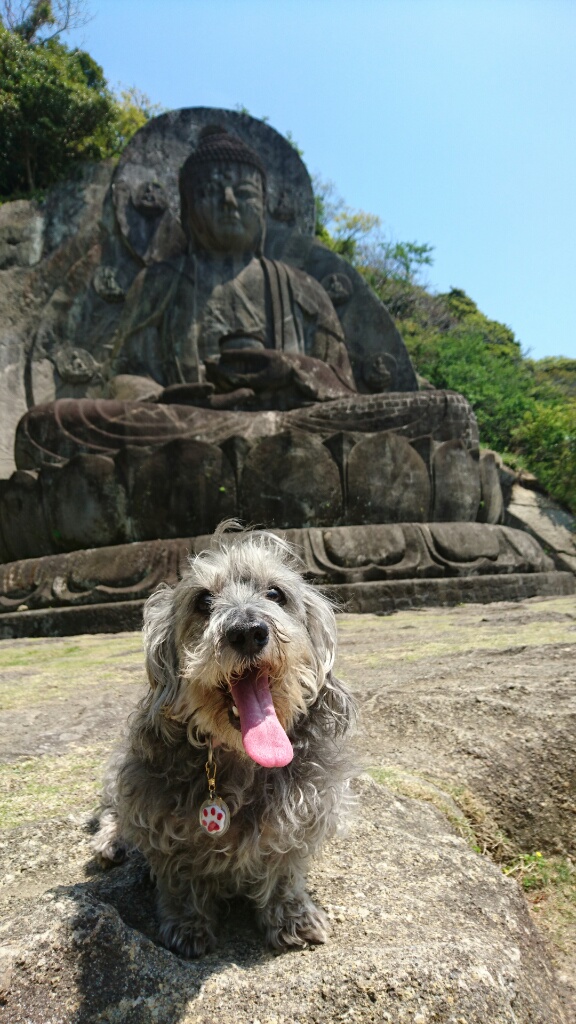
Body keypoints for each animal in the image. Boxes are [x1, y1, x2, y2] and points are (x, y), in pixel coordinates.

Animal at [93, 524, 354, 954]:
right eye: (203, 600)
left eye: (276, 594)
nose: (247, 632)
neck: (238, 760)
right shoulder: (160, 817)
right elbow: (180, 878)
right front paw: (188, 926)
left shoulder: (301, 818)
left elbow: (283, 872)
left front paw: (293, 919)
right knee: (111, 811)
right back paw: (112, 842)